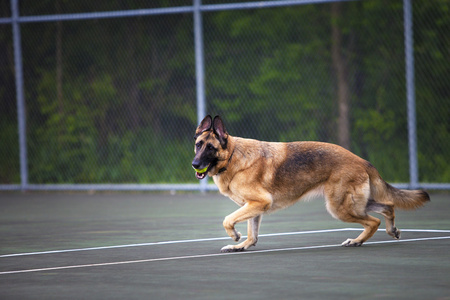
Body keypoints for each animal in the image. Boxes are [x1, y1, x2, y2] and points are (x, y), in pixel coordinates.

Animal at [192, 116, 430, 252]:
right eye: (198, 145)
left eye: (210, 148)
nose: (194, 164)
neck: (232, 156)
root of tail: (361, 160)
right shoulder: (254, 208)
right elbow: (253, 234)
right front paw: (240, 246)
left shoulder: (258, 203)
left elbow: (227, 220)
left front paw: (235, 236)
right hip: (354, 203)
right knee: (388, 206)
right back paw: (391, 231)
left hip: (339, 207)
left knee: (373, 221)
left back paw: (356, 241)